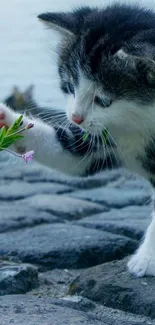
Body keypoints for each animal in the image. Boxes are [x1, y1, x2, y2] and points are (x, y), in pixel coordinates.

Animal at [0, 3, 155, 276]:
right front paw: (4, 117)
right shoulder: (103, 138)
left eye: (103, 100)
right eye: (70, 86)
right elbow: (70, 155)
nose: (75, 118)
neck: (139, 124)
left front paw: (146, 259)